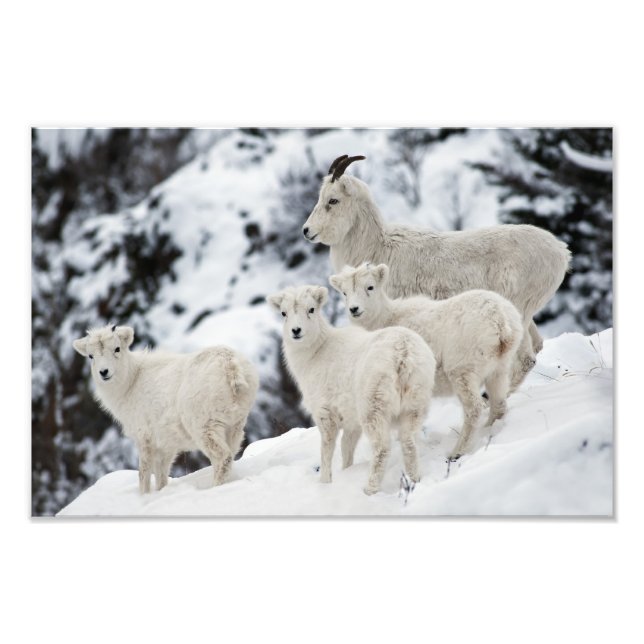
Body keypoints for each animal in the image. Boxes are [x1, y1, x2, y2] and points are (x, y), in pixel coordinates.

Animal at [73, 324, 259, 493]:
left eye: (117, 349)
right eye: (91, 356)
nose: (104, 372)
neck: (131, 383)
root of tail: (230, 365)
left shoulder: (144, 439)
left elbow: (144, 473)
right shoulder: (165, 447)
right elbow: (161, 476)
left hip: (204, 428)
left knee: (222, 458)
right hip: (234, 426)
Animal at [267, 284, 436, 495]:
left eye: (312, 309)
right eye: (284, 313)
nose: (296, 331)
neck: (315, 354)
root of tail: (403, 353)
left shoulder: (326, 415)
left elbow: (327, 451)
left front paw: (325, 483)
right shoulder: (351, 422)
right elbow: (346, 450)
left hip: (374, 408)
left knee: (382, 448)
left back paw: (369, 489)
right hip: (415, 404)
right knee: (409, 442)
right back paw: (414, 481)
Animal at [303, 154, 571, 389]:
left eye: (333, 200)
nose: (307, 231)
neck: (378, 246)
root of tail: (561, 252)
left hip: (519, 311)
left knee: (525, 359)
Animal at [330, 263, 524, 460]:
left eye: (370, 287)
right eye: (344, 292)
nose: (354, 309)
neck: (386, 318)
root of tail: (500, 320)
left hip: (462, 371)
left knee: (474, 409)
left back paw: (456, 452)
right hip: (498, 369)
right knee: (498, 404)